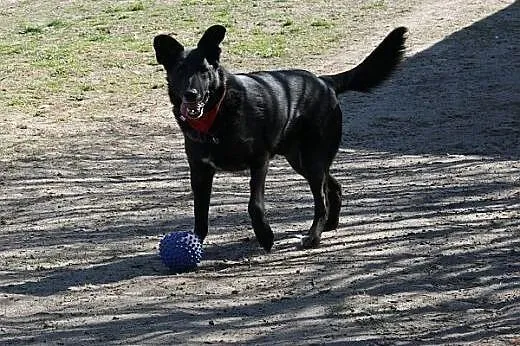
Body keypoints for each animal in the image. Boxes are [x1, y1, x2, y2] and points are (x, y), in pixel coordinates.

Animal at [152, 25, 408, 251]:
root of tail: (324, 82)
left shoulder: (259, 161)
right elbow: (200, 214)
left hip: (313, 159)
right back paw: (330, 225)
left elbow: (255, 205)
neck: (217, 115)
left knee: (321, 200)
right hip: (302, 160)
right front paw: (195, 243)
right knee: (333, 186)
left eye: (204, 71)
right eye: (180, 71)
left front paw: (265, 236)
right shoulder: (200, 171)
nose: (191, 94)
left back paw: (313, 236)